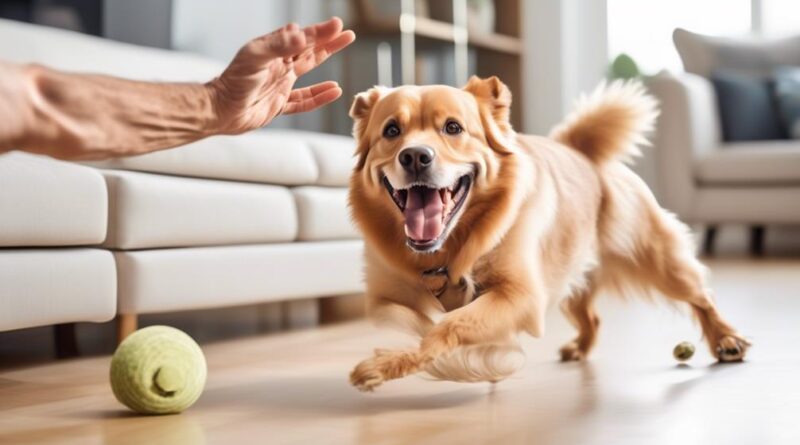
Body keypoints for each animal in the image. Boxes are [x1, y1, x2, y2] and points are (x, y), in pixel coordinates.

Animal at [346, 77, 752, 392]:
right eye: (391, 131)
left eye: (453, 128)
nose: (415, 156)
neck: (447, 251)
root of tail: (581, 150)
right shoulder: (384, 297)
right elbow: (414, 318)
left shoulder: (520, 295)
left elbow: (449, 324)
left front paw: (387, 364)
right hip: (567, 275)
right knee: (592, 318)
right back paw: (579, 348)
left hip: (654, 260)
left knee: (701, 295)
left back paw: (726, 339)